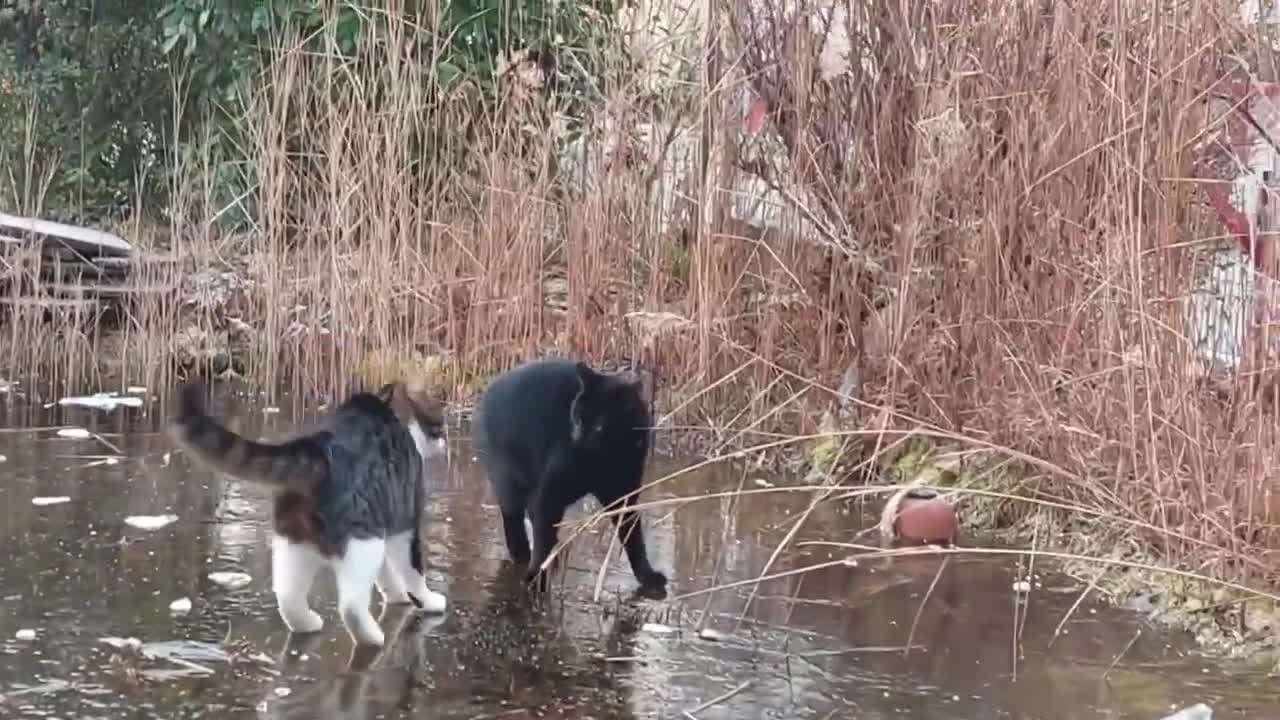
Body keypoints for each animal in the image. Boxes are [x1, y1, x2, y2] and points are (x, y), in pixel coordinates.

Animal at [473, 356, 670, 589]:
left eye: (599, 426)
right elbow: (542, 535)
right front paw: (535, 575)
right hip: (509, 483)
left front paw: (646, 576)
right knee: (515, 523)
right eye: (577, 416)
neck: (608, 458)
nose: (577, 435)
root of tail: (489, 390)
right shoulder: (548, 494)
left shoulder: (625, 495)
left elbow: (633, 536)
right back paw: (524, 556)